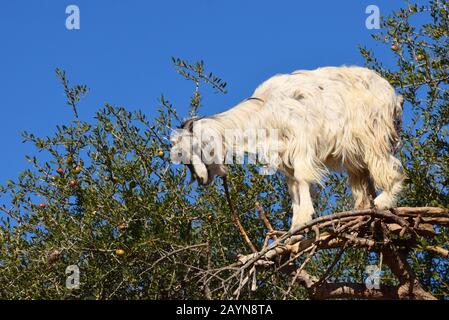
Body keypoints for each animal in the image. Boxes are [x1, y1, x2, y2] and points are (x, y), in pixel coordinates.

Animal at [170, 65, 404, 230]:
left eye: (190, 151)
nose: (200, 179)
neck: (264, 108)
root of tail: (393, 96)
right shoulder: (285, 156)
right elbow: (293, 188)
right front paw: (295, 225)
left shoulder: (301, 142)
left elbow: (302, 177)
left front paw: (305, 217)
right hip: (355, 152)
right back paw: (362, 211)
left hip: (373, 134)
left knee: (390, 166)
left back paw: (383, 201)